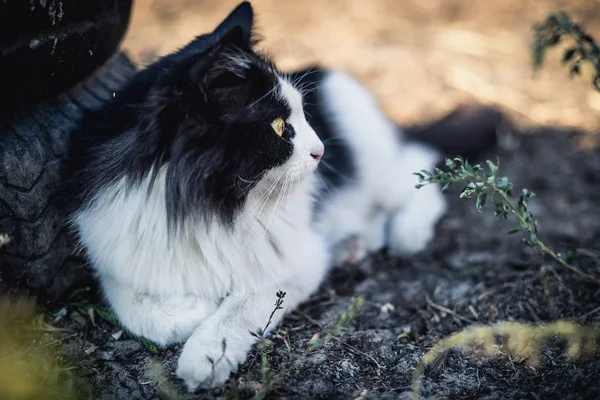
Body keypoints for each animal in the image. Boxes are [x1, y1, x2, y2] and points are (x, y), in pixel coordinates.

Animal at [63, 1, 500, 392]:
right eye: (276, 126)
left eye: (303, 117)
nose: (322, 150)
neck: (199, 204)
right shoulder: (115, 253)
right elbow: (133, 305)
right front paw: (191, 309)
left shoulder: (293, 263)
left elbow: (237, 309)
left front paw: (206, 355)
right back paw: (353, 245)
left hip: (378, 161)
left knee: (420, 168)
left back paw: (407, 233)